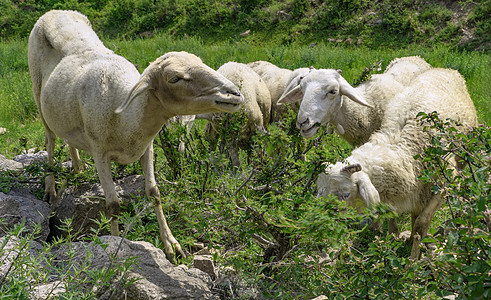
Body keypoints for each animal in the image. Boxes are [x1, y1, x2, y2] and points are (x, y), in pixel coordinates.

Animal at [27, 9, 243, 260]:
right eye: (174, 78)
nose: (234, 93)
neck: (127, 118)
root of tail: (56, 11)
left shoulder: (146, 147)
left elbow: (154, 193)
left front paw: (172, 245)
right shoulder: (100, 153)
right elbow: (113, 205)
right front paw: (115, 245)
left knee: (68, 139)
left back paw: (78, 169)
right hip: (38, 95)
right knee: (50, 140)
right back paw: (50, 188)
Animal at [318, 67, 478, 258]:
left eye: (345, 195)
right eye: (321, 194)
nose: (325, 225)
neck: (406, 150)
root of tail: (445, 69)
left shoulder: (445, 184)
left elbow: (422, 223)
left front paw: (413, 261)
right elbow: (395, 222)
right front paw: (394, 245)